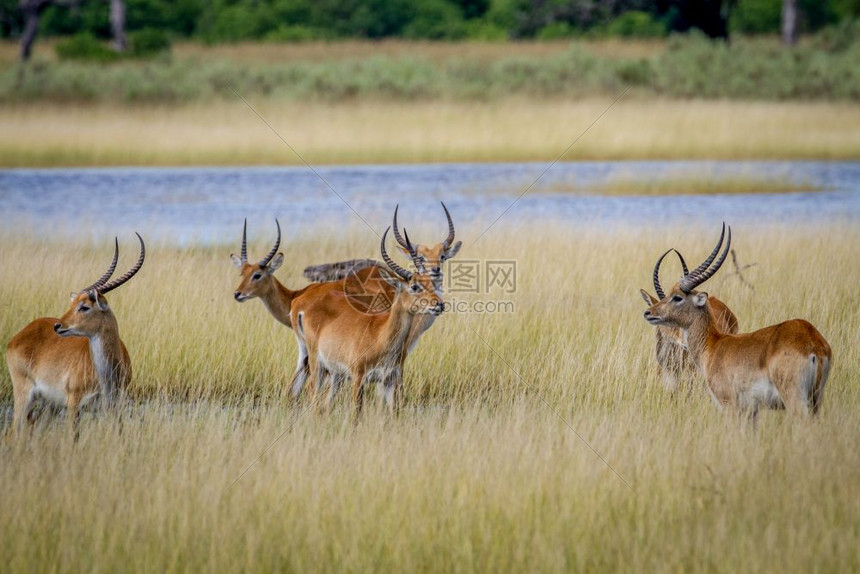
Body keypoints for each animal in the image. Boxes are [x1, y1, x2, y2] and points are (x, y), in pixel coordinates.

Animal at [6, 234, 146, 436]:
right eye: (73, 304)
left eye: (84, 306)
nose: (58, 326)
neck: (106, 375)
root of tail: (18, 336)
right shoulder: (74, 405)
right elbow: (74, 437)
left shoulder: (114, 407)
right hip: (25, 395)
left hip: (50, 405)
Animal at [290, 227, 444, 416]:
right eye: (414, 286)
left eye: (430, 283)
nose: (439, 304)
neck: (381, 336)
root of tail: (300, 301)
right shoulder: (358, 377)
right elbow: (357, 413)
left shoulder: (389, 380)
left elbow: (394, 413)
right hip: (316, 363)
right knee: (311, 392)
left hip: (334, 374)